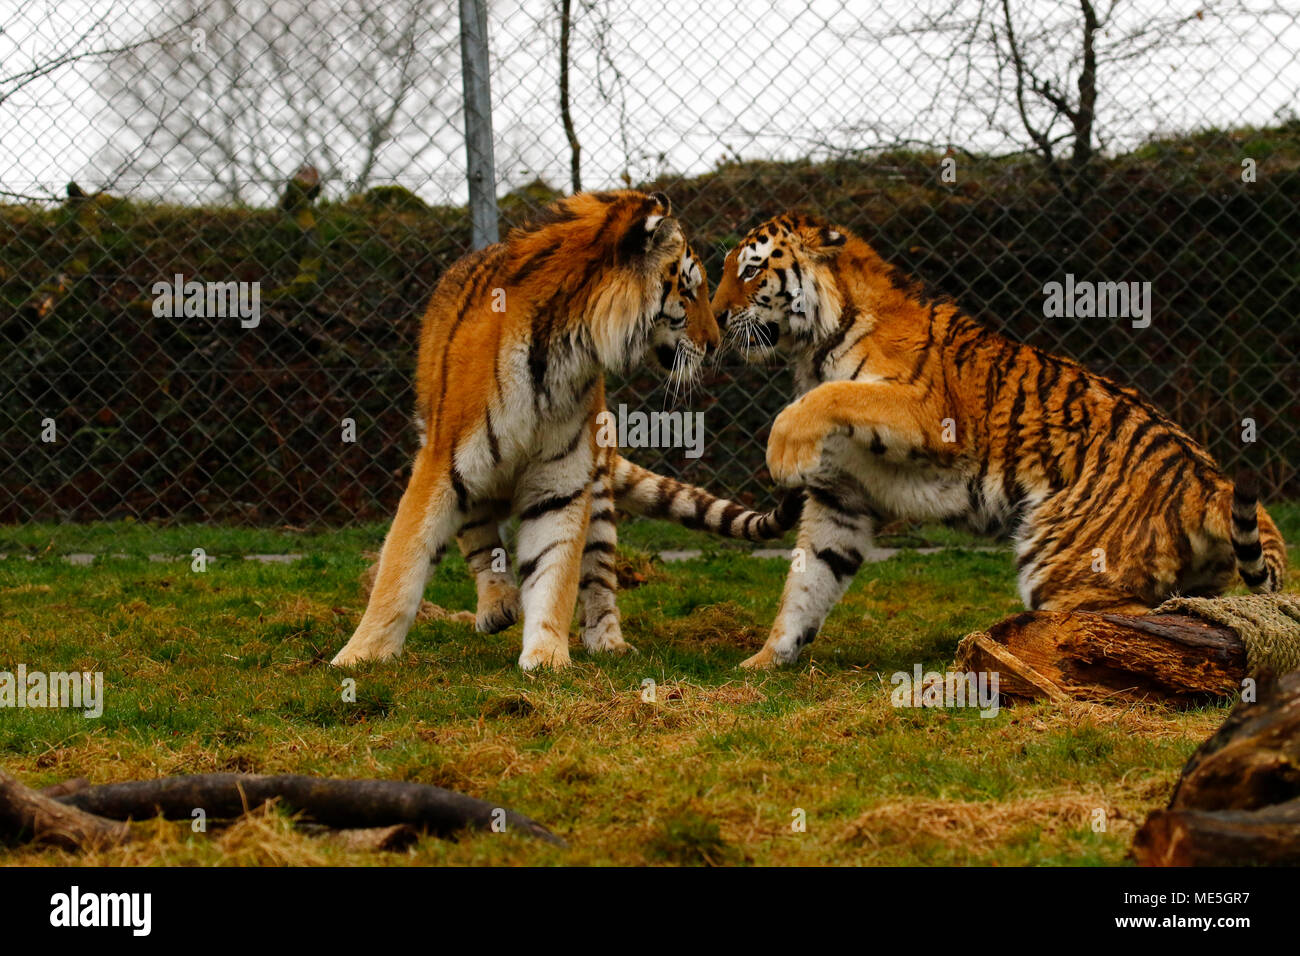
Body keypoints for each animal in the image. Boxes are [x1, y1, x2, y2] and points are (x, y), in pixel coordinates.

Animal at [332, 192, 722, 671]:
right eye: (688, 290)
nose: (715, 343)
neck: (567, 351)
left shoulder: (561, 482)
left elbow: (554, 571)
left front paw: (548, 655)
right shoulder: (440, 465)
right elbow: (401, 566)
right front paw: (360, 654)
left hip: (597, 493)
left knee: (599, 574)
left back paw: (608, 640)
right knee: (480, 540)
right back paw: (497, 606)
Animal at [712, 213, 1289, 671]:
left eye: (751, 269)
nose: (715, 316)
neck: (812, 347)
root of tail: (1208, 479)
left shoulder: (925, 410)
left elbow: (830, 396)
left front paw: (782, 454)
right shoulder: (841, 497)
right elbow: (808, 582)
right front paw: (764, 662)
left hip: (1065, 569)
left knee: (1135, 624)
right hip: (1197, 579)